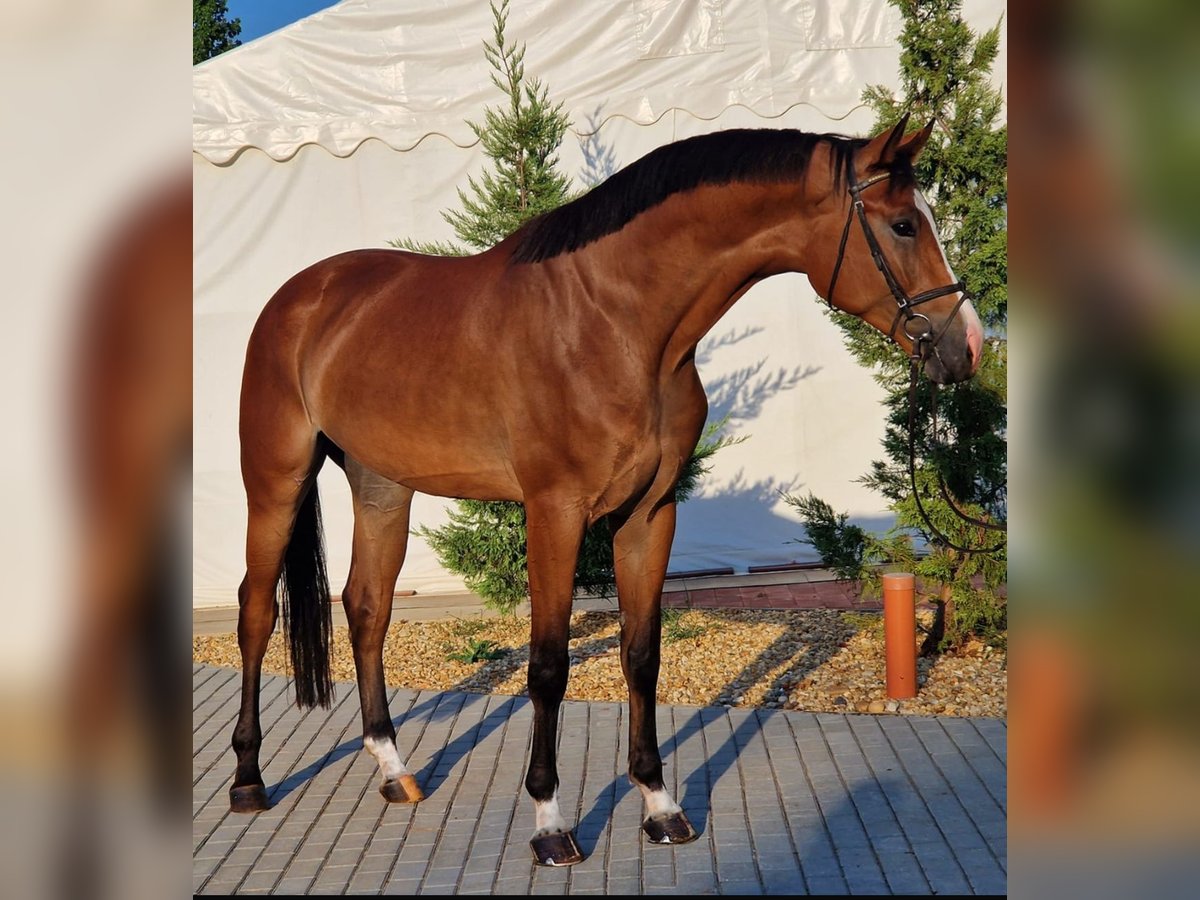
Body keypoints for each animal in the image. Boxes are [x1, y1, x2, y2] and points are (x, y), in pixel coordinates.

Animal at [226, 114, 984, 868]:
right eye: (903, 225)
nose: (967, 347)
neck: (614, 322)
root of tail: (302, 296)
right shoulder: (554, 512)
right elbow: (548, 665)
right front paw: (550, 823)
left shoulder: (649, 513)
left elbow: (641, 654)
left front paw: (661, 806)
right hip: (274, 479)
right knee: (257, 612)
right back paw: (248, 780)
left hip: (382, 486)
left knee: (367, 608)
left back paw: (393, 770)